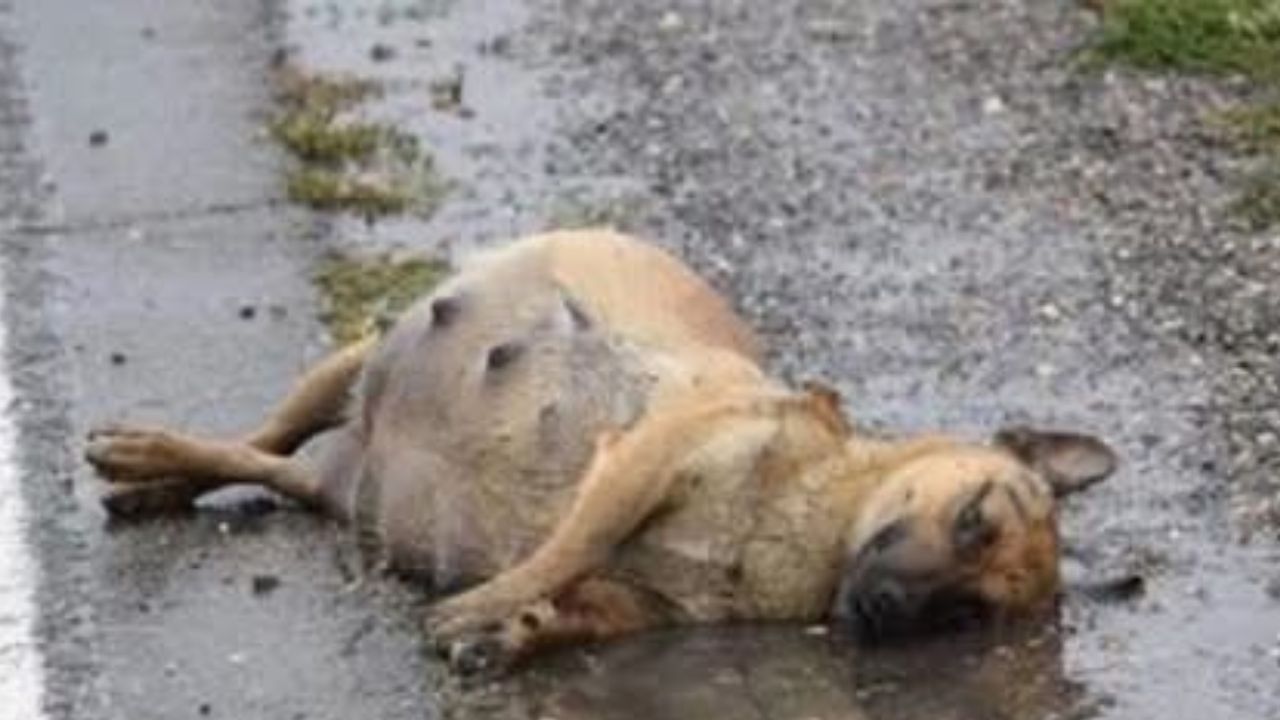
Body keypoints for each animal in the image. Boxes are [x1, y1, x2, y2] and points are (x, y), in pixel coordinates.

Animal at [85, 229, 1116, 671]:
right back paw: (145, 456)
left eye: (967, 616)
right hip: (356, 361)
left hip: (339, 480)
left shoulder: (639, 602)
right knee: (257, 436)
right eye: (975, 518)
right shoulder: (638, 463)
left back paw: (154, 477)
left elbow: (578, 604)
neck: (798, 535)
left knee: (270, 466)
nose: (888, 610)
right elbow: (563, 548)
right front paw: (483, 607)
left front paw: (514, 632)